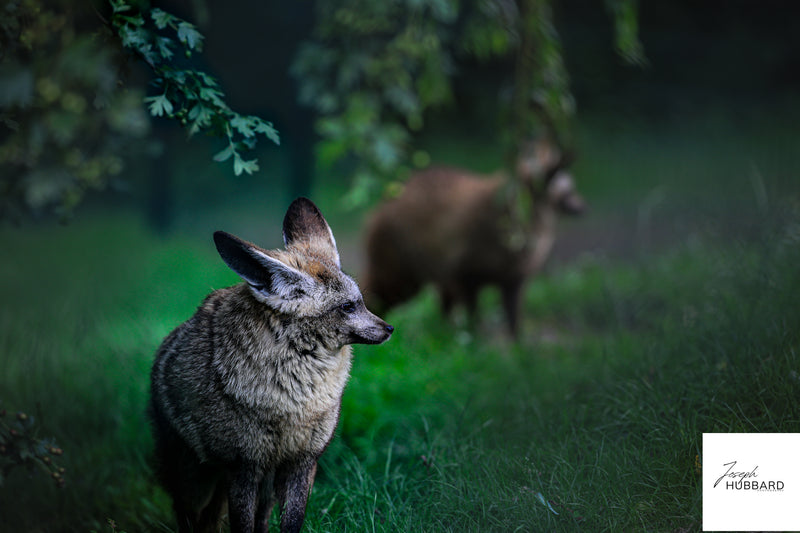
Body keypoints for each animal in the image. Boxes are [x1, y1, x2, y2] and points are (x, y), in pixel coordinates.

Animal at [149, 197, 393, 533]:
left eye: (362, 303)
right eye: (347, 307)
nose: (389, 329)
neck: (295, 400)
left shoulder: (302, 462)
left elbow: (290, 522)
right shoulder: (243, 468)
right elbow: (242, 525)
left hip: (259, 485)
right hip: (195, 479)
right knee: (188, 515)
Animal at [362, 137, 584, 337]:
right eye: (568, 189)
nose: (582, 207)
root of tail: (387, 199)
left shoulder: (514, 276)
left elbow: (513, 315)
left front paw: (516, 344)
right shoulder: (466, 271)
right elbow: (473, 312)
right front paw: (475, 336)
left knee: (444, 298)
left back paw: (445, 329)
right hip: (398, 259)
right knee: (384, 290)